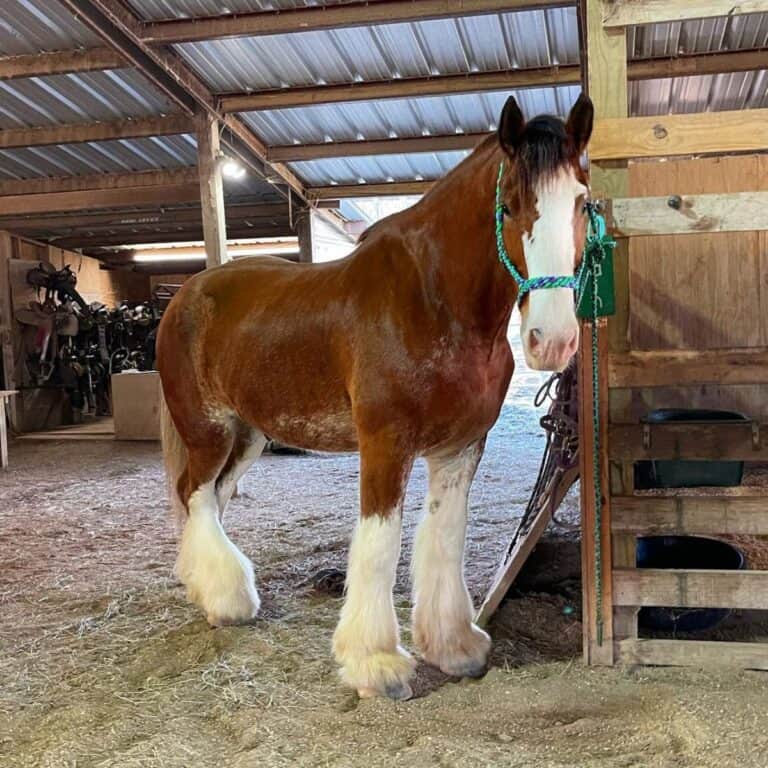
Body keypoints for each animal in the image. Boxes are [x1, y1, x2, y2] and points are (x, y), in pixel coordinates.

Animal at [156, 93, 594, 700]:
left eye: (583, 202)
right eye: (508, 207)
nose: (551, 341)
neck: (434, 301)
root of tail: (184, 296)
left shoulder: (461, 448)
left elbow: (445, 539)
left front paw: (454, 648)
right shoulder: (386, 444)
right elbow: (380, 545)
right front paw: (376, 664)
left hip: (248, 437)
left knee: (211, 500)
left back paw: (205, 585)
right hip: (209, 430)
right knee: (194, 494)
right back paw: (227, 601)